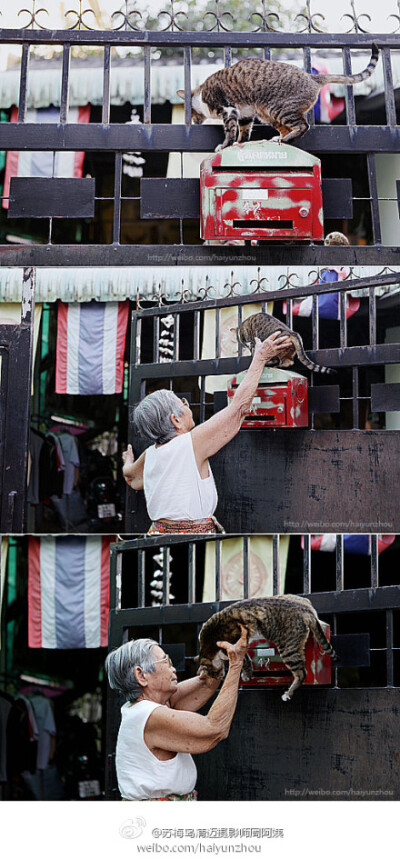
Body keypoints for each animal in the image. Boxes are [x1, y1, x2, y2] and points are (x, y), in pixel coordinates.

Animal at [177, 43, 378, 150]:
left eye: (191, 112)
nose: (194, 121)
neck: (202, 93)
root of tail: (311, 76)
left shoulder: (228, 109)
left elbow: (230, 131)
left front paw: (224, 145)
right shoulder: (245, 115)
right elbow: (243, 132)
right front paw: (238, 144)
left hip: (278, 109)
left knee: (303, 126)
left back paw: (285, 139)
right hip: (267, 114)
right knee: (287, 128)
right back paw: (278, 138)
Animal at [198, 596, 336, 704]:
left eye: (213, 674)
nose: (219, 678)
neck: (208, 643)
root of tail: (306, 609)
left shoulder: (236, 646)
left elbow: (245, 661)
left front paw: (247, 675)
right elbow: (247, 659)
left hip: (288, 649)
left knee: (301, 673)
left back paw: (288, 694)